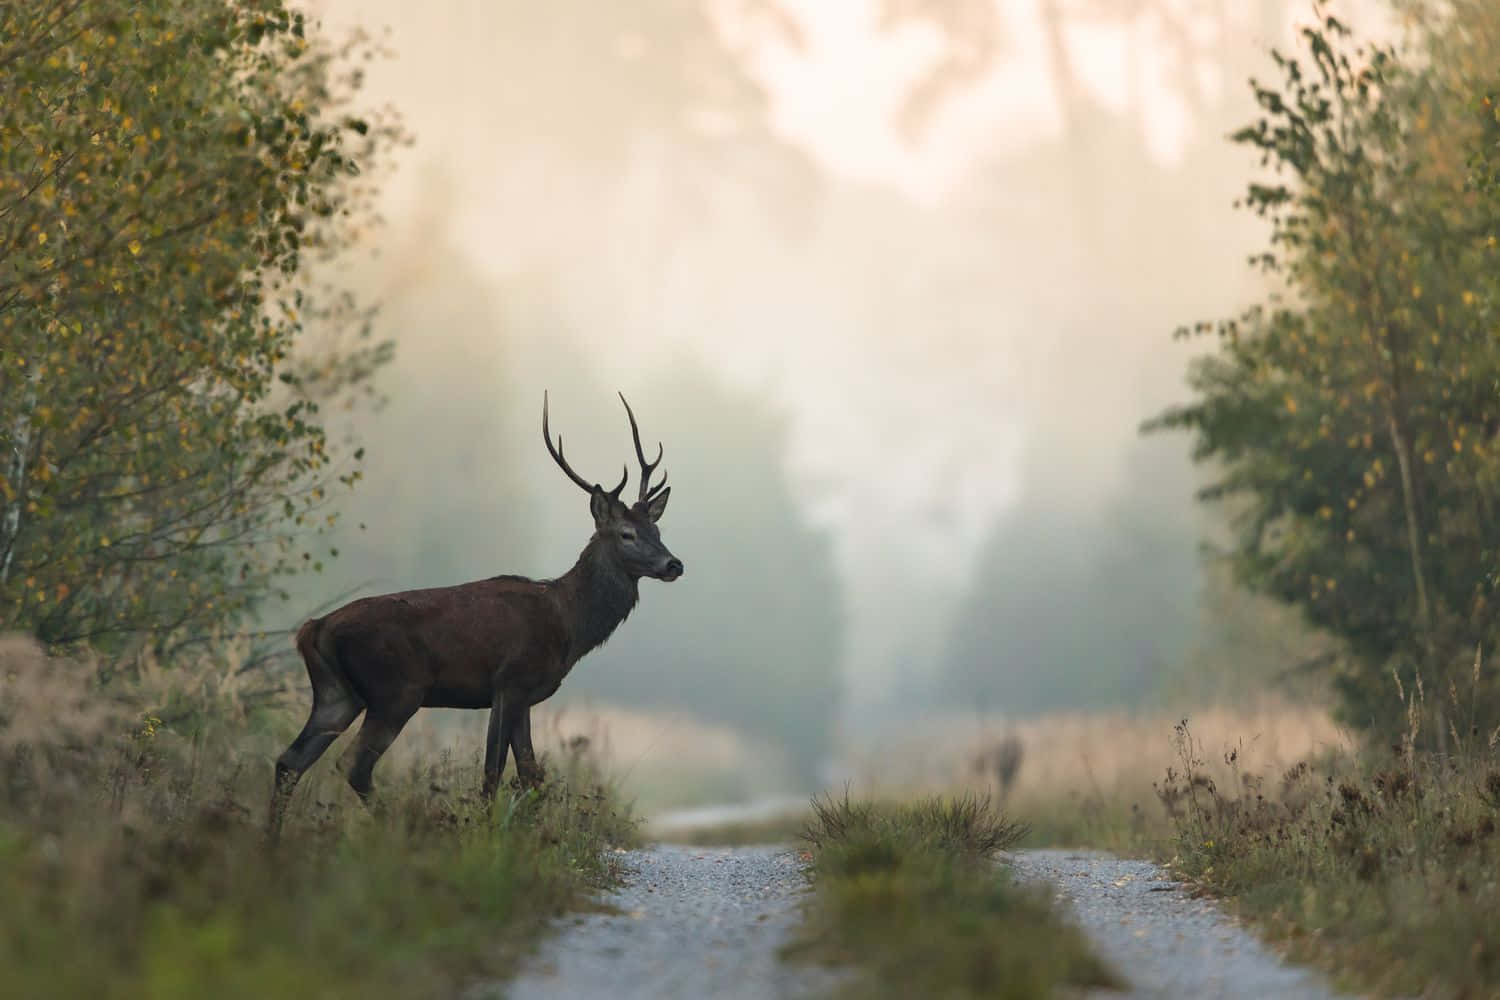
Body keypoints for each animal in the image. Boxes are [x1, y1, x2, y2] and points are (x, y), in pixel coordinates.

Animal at [267, 392, 683, 839]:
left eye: (657, 531)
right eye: (627, 534)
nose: (674, 564)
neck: (569, 624)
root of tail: (314, 630)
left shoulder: (525, 695)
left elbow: (531, 775)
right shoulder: (510, 681)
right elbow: (493, 773)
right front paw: (486, 835)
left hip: (336, 693)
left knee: (289, 762)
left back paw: (270, 843)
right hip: (396, 689)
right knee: (352, 764)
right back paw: (405, 827)